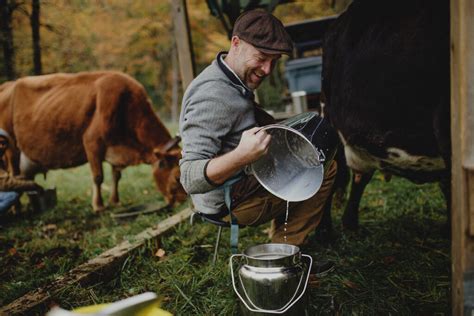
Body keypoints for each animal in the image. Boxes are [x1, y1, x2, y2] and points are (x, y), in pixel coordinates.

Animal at [0, 70, 188, 211]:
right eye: (177, 177)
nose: (183, 201)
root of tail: (6, 85)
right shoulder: (92, 142)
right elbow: (98, 177)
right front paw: (99, 206)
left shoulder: (115, 147)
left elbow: (116, 175)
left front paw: (115, 201)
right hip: (10, 147)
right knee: (12, 175)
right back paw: (16, 208)